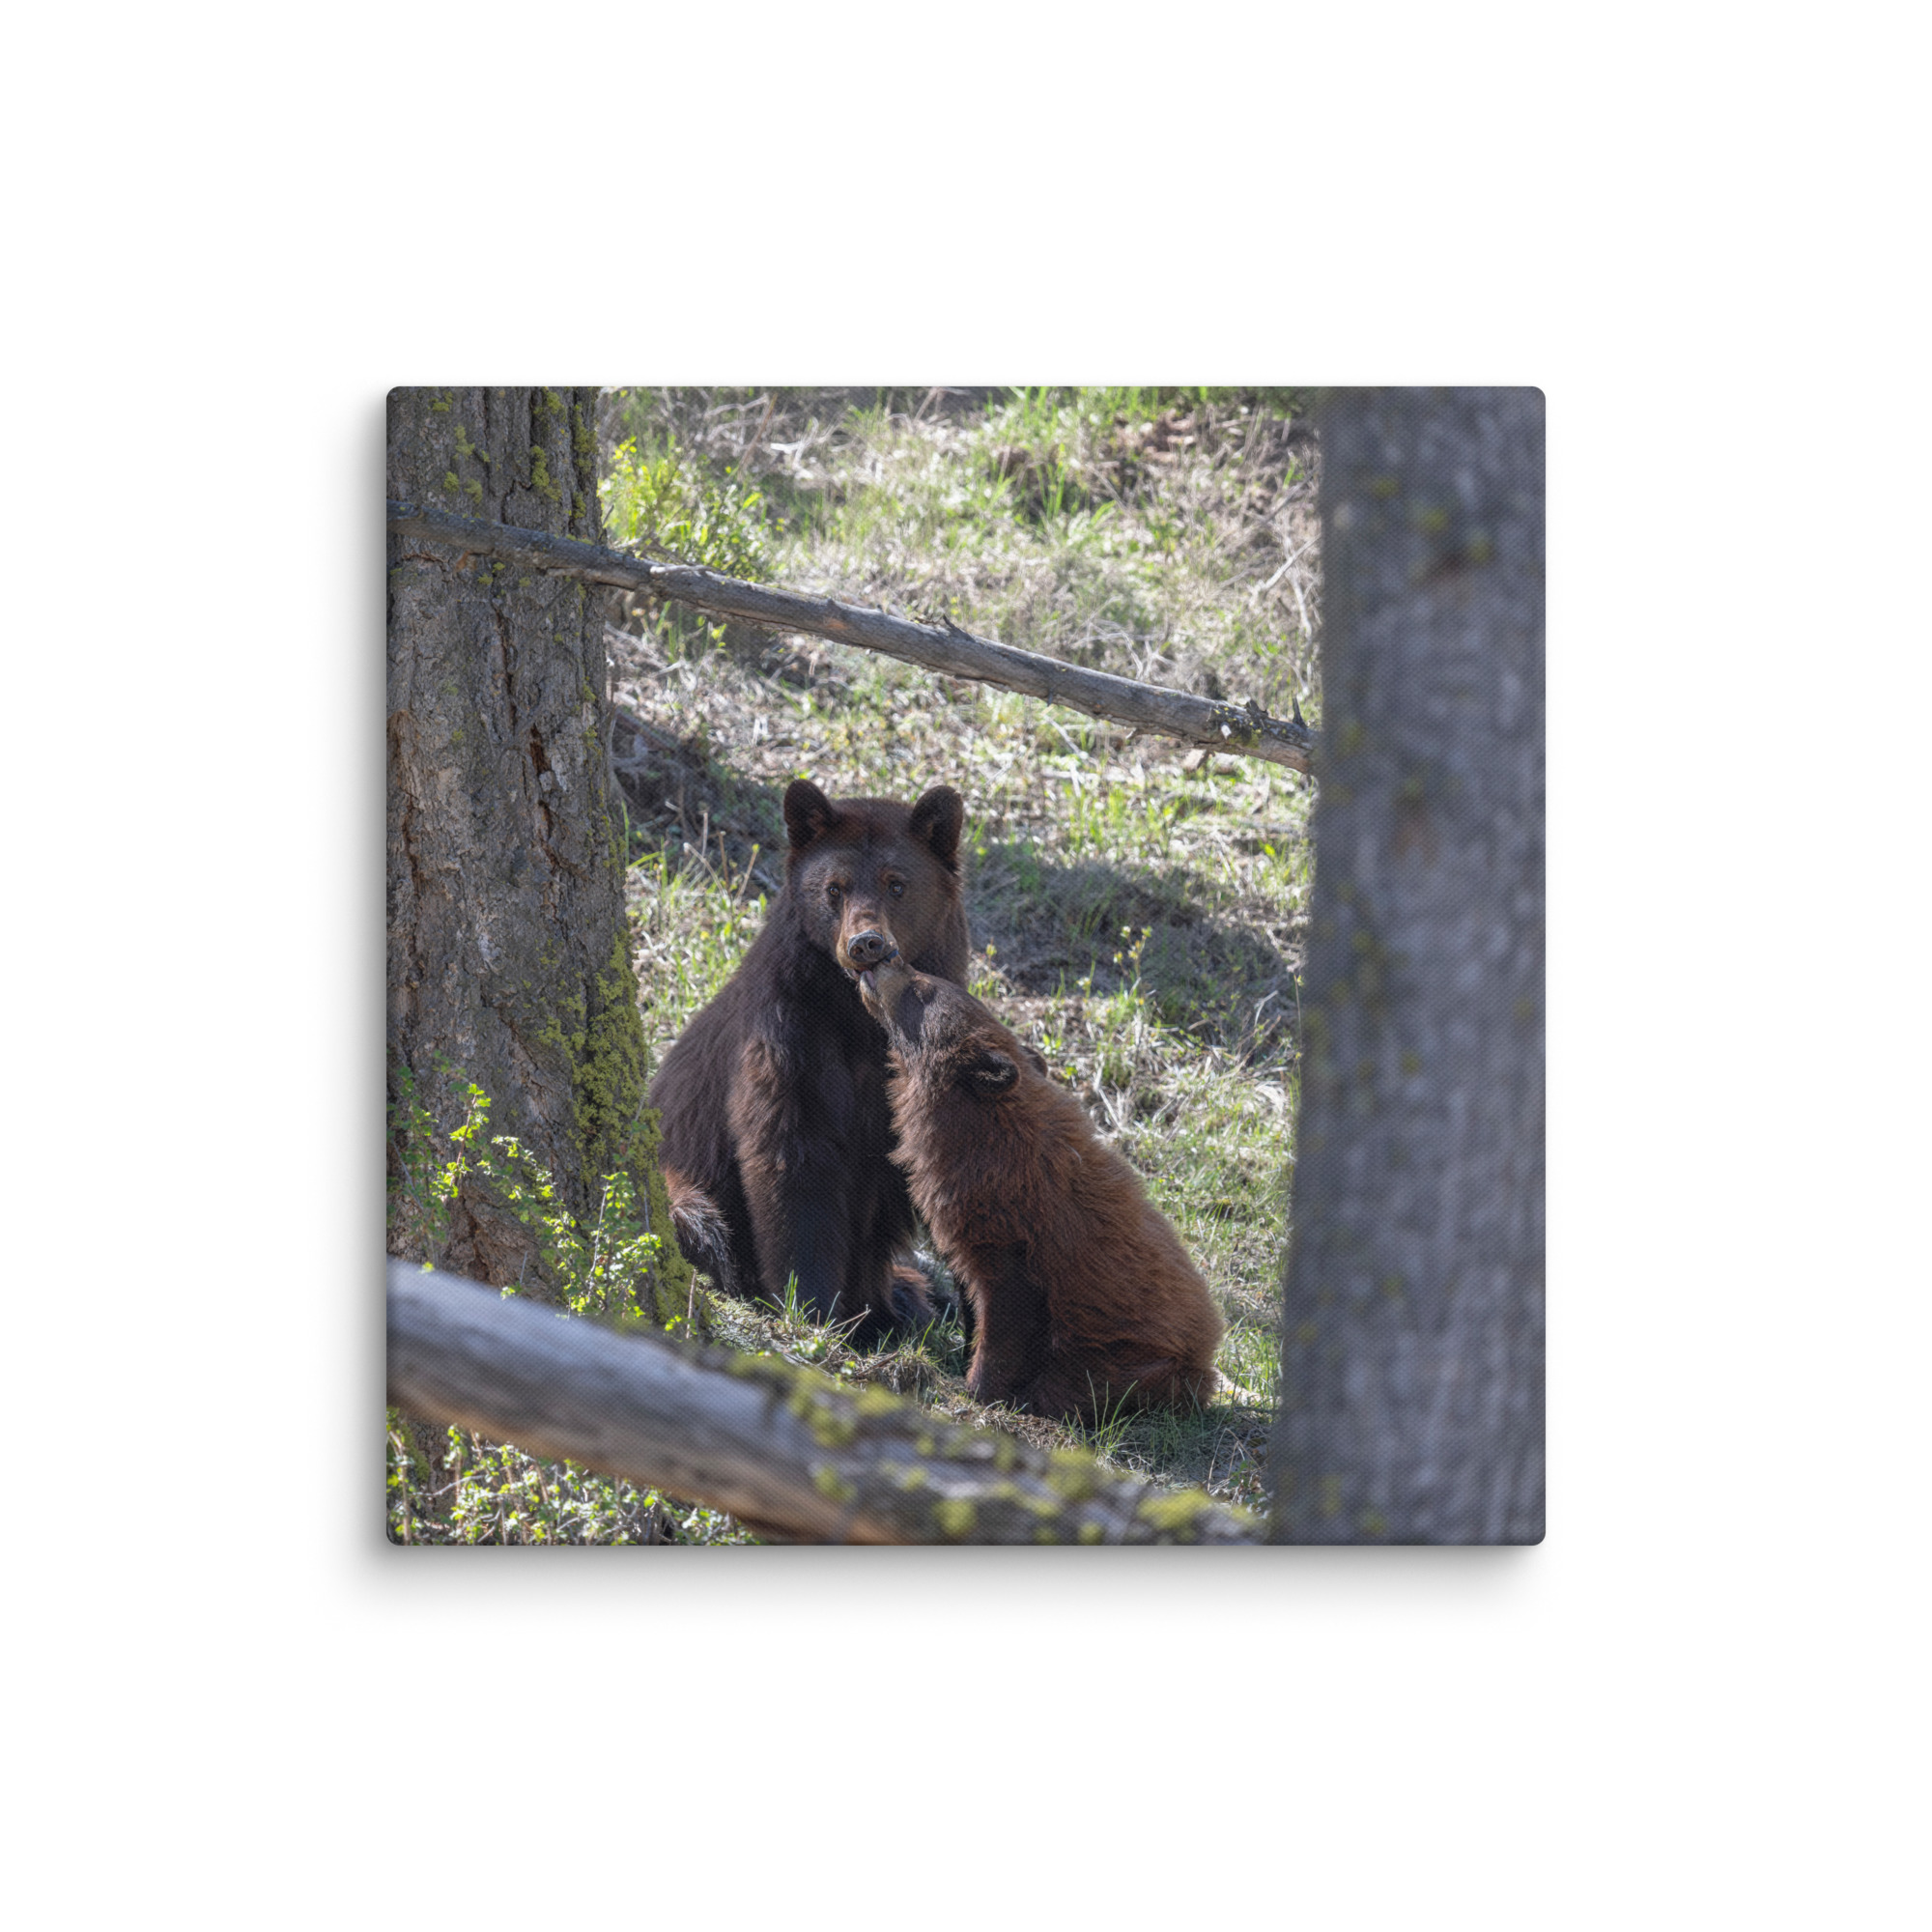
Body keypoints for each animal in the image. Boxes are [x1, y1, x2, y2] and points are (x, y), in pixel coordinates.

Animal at [647, 777, 970, 1346]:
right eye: (834, 888)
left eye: (897, 884)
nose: (866, 943)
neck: (860, 1018)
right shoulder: (788, 1034)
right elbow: (792, 1158)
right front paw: (814, 1307)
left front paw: (880, 1307)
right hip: (680, 1184)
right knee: (701, 1222)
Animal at [855, 951, 1225, 1422]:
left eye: (923, 988)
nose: (889, 957)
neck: (982, 1133)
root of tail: (1207, 1358)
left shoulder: (1014, 1230)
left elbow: (1008, 1312)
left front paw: (978, 1386)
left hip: (1135, 1362)